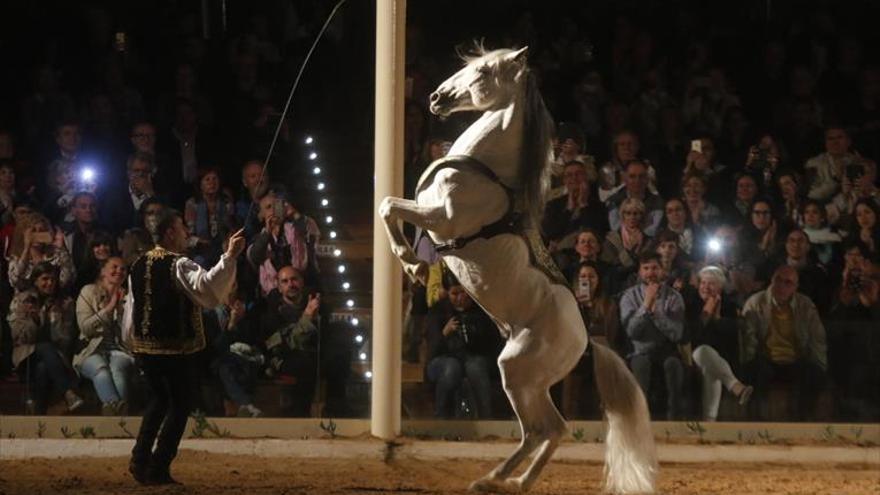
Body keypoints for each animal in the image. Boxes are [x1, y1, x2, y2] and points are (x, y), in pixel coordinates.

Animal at [374, 45, 656, 492]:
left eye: (483, 71)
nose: (437, 97)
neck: (485, 172)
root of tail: (587, 343)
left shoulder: (442, 220)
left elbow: (388, 207)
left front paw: (413, 264)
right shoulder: (428, 212)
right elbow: (390, 205)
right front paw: (414, 265)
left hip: (518, 374)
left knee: (545, 429)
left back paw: (500, 479)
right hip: (530, 382)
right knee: (549, 430)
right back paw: (505, 479)